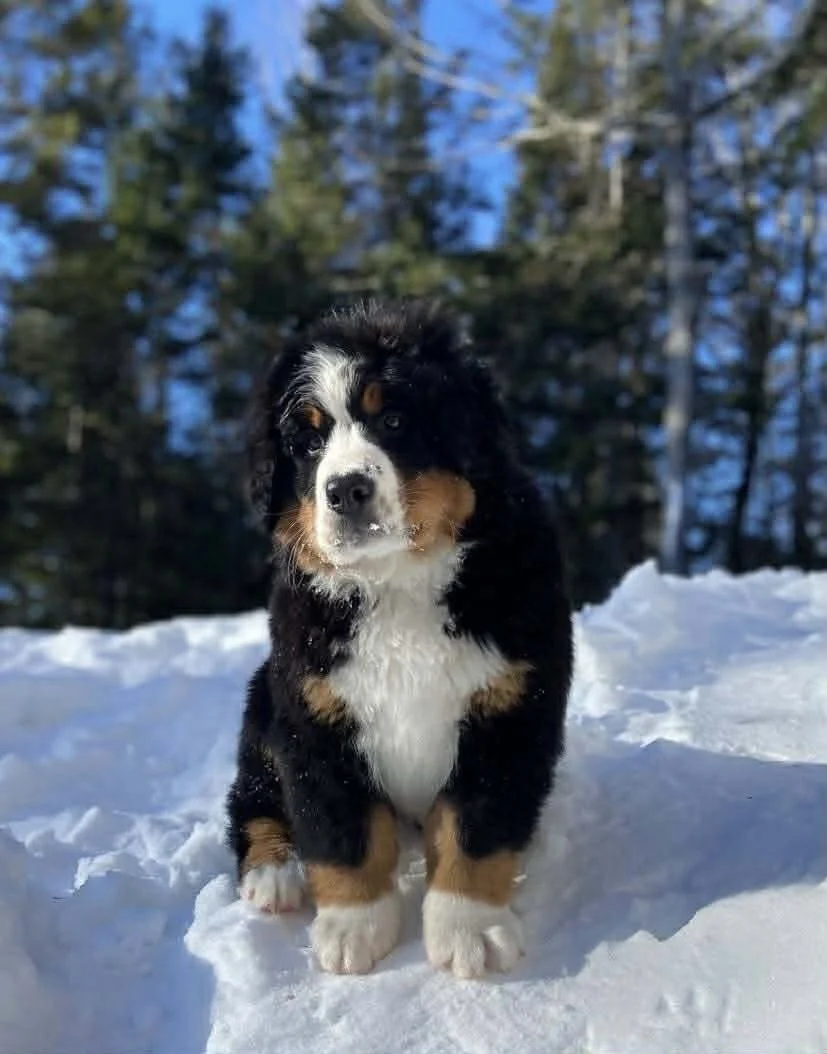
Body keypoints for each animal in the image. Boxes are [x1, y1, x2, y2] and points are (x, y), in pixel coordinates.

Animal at [226, 300, 572, 977]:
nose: (345, 489)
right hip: (261, 707)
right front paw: (352, 928)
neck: (400, 582)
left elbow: (476, 829)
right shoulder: (314, 715)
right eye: (308, 441)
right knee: (252, 802)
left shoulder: (510, 708)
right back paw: (275, 871)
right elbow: (342, 830)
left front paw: (470, 929)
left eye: (393, 418)